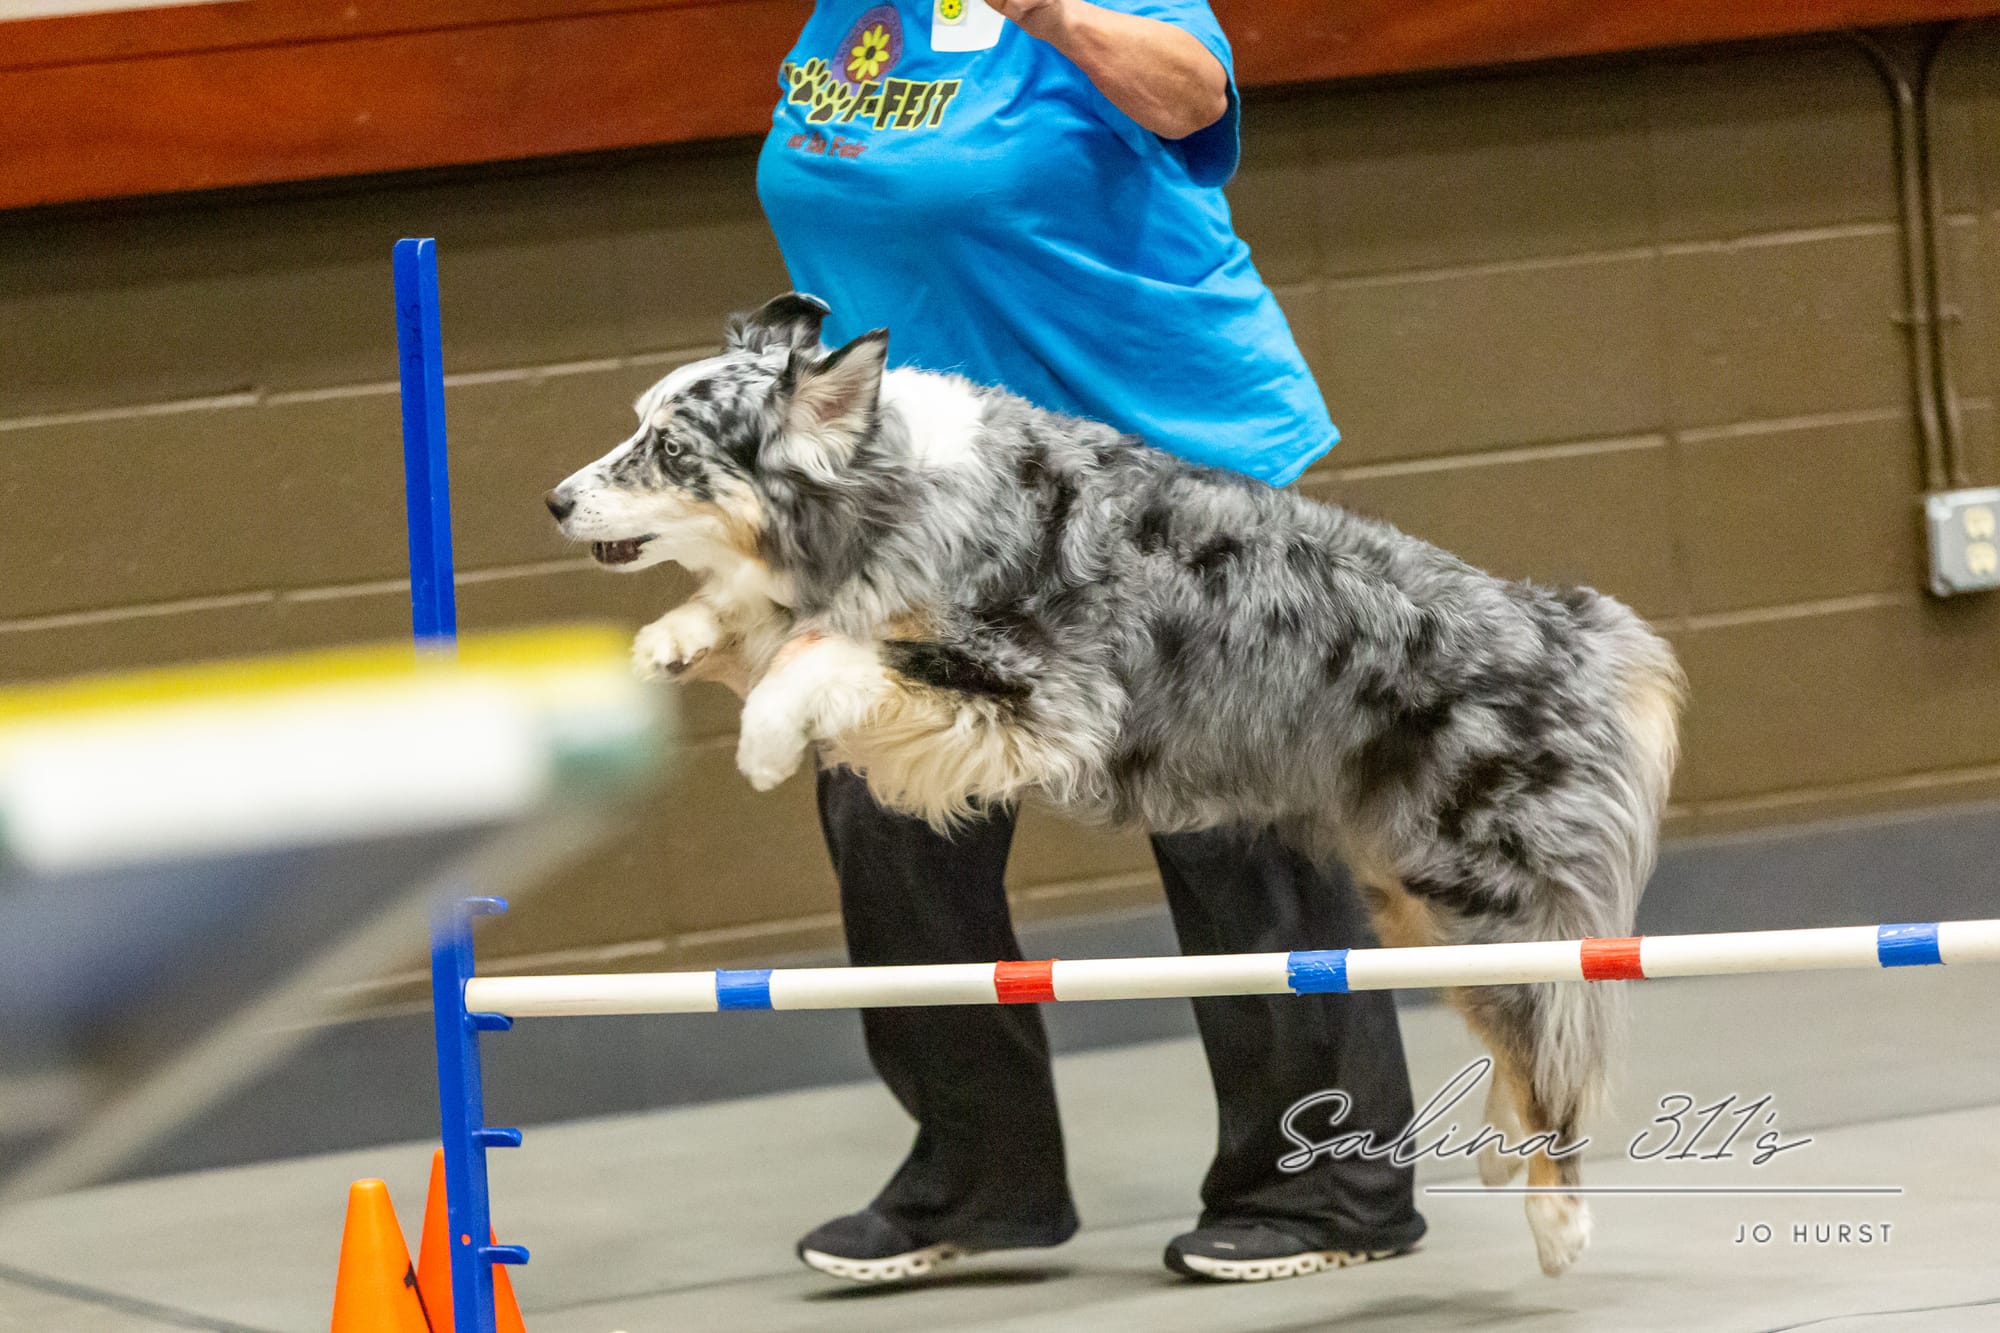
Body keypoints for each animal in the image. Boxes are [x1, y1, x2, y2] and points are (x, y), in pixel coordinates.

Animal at [546, 292, 1685, 1276]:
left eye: (671, 449)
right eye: (635, 425)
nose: (553, 499)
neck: (888, 487)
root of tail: (1574, 631)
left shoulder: (1042, 694)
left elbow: (824, 652)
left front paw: (764, 739)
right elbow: (773, 619)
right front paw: (677, 637)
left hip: (1483, 898)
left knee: (1552, 1041)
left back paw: (1557, 1224)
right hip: (1416, 904)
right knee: (1525, 1036)